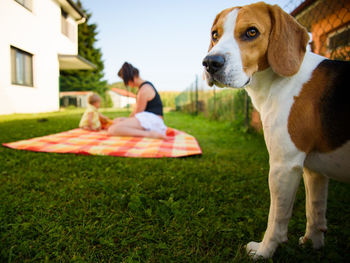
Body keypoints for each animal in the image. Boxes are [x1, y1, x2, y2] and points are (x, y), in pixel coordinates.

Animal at [202, 1, 350, 262]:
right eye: (215, 35)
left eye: (251, 32)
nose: (210, 63)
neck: (280, 81)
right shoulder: (314, 170)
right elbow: (314, 211)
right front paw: (312, 244)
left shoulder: (284, 165)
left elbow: (277, 218)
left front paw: (264, 251)